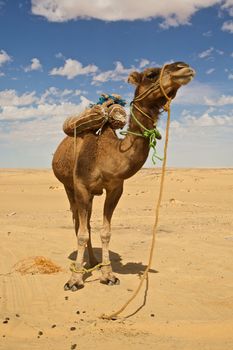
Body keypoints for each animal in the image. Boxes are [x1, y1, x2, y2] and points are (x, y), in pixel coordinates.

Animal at [52, 61, 195, 292]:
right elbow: (82, 233)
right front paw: (74, 280)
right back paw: (82, 265)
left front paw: (108, 275)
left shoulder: (115, 189)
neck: (108, 155)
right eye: (151, 74)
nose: (184, 67)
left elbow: (106, 231)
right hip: (69, 187)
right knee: (78, 222)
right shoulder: (81, 186)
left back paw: (93, 261)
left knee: (87, 223)